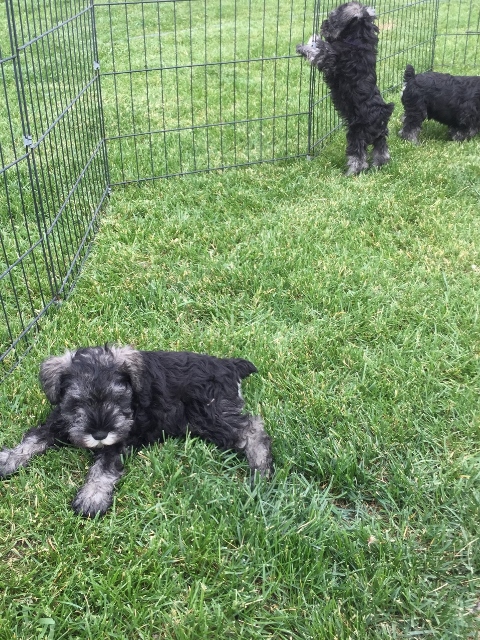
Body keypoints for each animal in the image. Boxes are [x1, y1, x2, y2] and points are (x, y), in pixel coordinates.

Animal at [0, 346, 272, 517]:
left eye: (117, 398)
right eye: (77, 402)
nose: (99, 434)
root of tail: (229, 365)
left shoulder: (120, 440)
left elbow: (103, 467)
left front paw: (92, 497)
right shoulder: (57, 422)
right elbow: (33, 439)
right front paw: (9, 459)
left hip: (211, 415)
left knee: (253, 431)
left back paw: (261, 471)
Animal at [296, 2, 394, 175]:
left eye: (332, 18)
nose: (323, 25)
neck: (358, 38)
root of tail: (382, 116)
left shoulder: (329, 57)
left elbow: (318, 51)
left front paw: (305, 45)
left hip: (356, 133)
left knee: (358, 156)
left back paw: (350, 173)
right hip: (379, 137)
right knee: (382, 151)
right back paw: (379, 166)